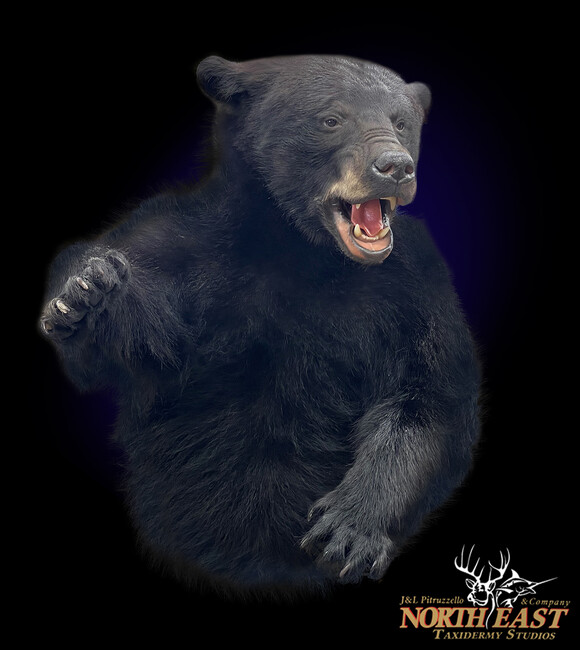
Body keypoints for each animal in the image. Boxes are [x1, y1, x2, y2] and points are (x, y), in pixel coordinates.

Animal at [39, 54, 481, 595]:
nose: (395, 167)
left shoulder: (415, 285)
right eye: (330, 119)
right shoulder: (178, 248)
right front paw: (87, 291)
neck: (298, 247)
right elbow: (123, 342)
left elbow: (430, 392)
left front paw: (349, 530)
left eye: (401, 122)